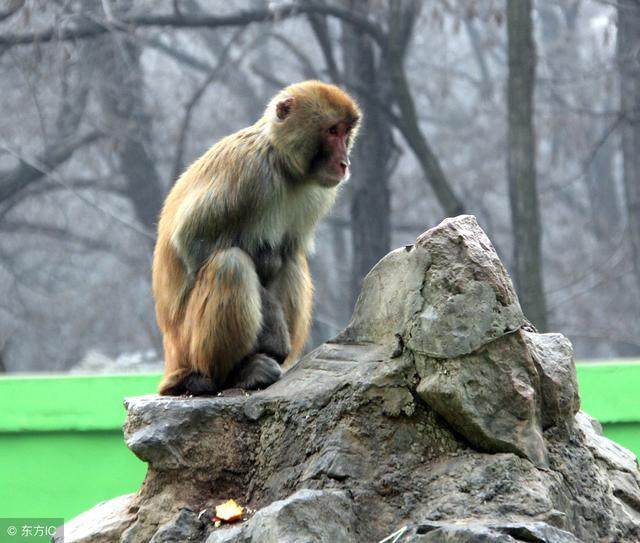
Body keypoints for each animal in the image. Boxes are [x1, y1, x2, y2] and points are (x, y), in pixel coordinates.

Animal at [151, 81, 360, 396]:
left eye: (346, 133)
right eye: (332, 131)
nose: (344, 162)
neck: (283, 165)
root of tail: (170, 357)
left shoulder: (316, 196)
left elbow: (287, 252)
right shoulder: (249, 172)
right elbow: (193, 240)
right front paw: (273, 328)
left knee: (290, 260)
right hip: (186, 343)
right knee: (230, 265)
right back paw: (231, 374)